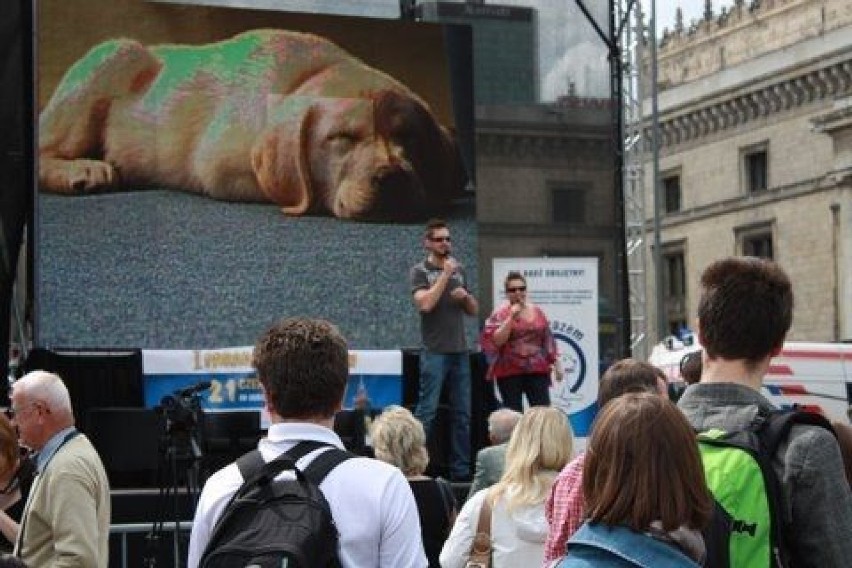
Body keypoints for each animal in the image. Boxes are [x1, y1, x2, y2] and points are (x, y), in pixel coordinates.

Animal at [38, 30, 466, 222]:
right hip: (115, 53)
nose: (393, 178)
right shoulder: (218, 167)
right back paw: (81, 170)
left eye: (409, 137)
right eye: (342, 139)